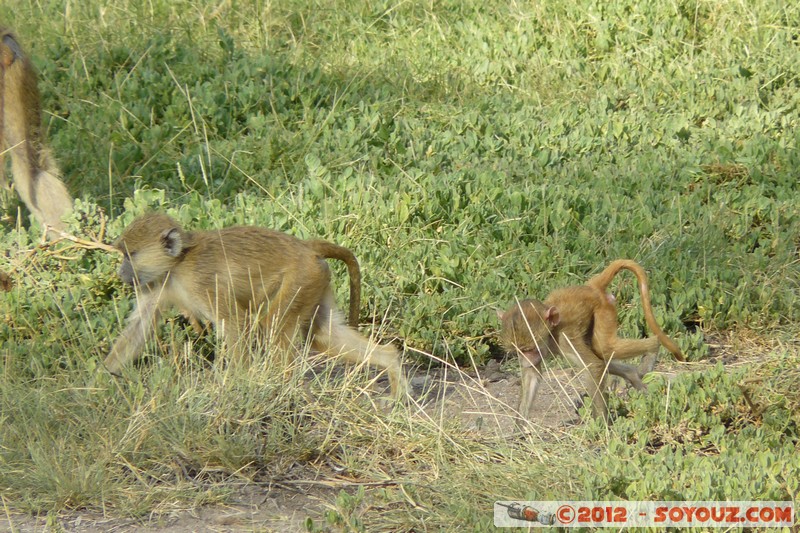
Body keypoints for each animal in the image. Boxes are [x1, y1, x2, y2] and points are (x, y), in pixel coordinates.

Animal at [104, 213, 408, 399]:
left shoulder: (203, 281)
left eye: (129, 255)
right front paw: (100, 383)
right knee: (323, 334)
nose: (120, 273)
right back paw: (391, 365)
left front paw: (235, 389)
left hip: (301, 278)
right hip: (315, 280)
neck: (177, 264)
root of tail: (305, 246)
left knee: (274, 327)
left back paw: (283, 391)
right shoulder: (153, 284)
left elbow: (236, 325)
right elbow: (139, 327)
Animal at [498, 259, 684, 423]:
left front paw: (601, 424)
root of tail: (592, 287)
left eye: (529, 349)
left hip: (604, 310)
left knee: (606, 348)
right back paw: (632, 374)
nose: (525, 360)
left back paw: (653, 346)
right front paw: (519, 431)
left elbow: (593, 365)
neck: (551, 331)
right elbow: (532, 376)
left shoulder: (564, 339)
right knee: (601, 352)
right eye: (519, 351)